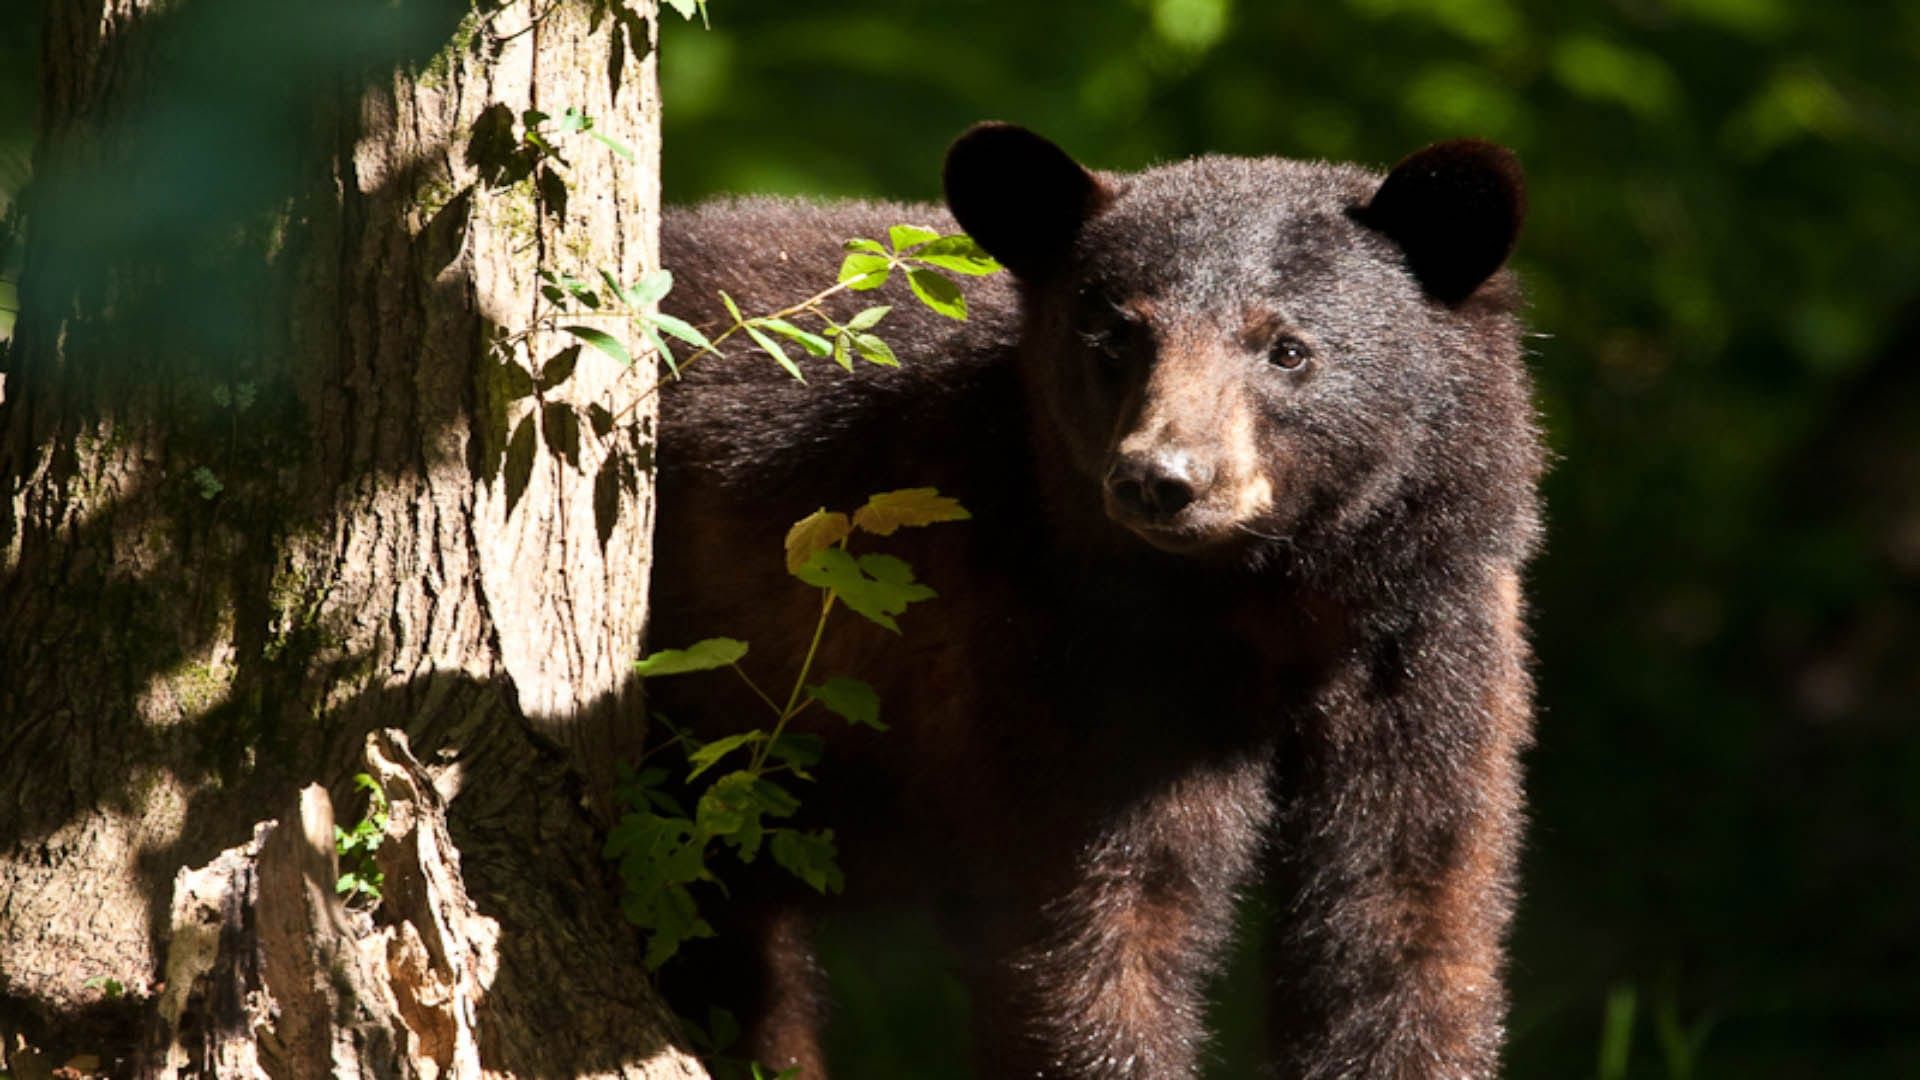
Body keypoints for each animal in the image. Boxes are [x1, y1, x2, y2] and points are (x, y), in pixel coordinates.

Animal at [648, 127, 1543, 1076]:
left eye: (1288, 348)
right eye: (1117, 338)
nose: (1162, 478)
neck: (1266, 604)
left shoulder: (1425, 639)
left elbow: (1406, 909)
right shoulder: (1065, 650)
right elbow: (1096, 926)